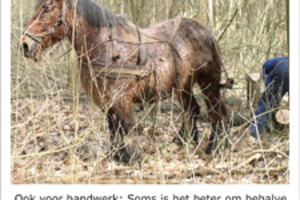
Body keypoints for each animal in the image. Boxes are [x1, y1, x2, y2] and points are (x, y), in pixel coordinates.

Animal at [21, 0, 227, 162]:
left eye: (47, 8)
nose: (25, 44)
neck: (107, 47)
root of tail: (206, 31)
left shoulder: (122, 99)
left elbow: (126, 127)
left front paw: (132, 157)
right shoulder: (106, 101)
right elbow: (114, 128)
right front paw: (117, 155)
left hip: (208, 83)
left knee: (216, 111)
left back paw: (216, 146)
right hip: (183, 86)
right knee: (192, 110)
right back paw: (184, 142)